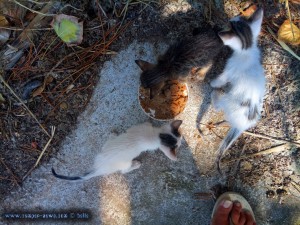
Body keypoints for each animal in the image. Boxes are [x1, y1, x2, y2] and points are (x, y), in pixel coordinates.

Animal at [52, 120, 183, 180]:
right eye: (178, 145)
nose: (181, 143)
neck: (156, 136)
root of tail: (100, 168)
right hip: (125, 163)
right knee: (124, 171)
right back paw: (136, 164)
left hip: (104, 148)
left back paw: (113, 134)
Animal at [210, 7, 266, 171]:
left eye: (230, 26)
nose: (218, 29)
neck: (247, 50)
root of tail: (242, 125)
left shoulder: (229, 71)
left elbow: (220, 79)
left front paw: (212, 83)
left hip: (228, 99)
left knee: (218, 104)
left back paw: (214, 93)